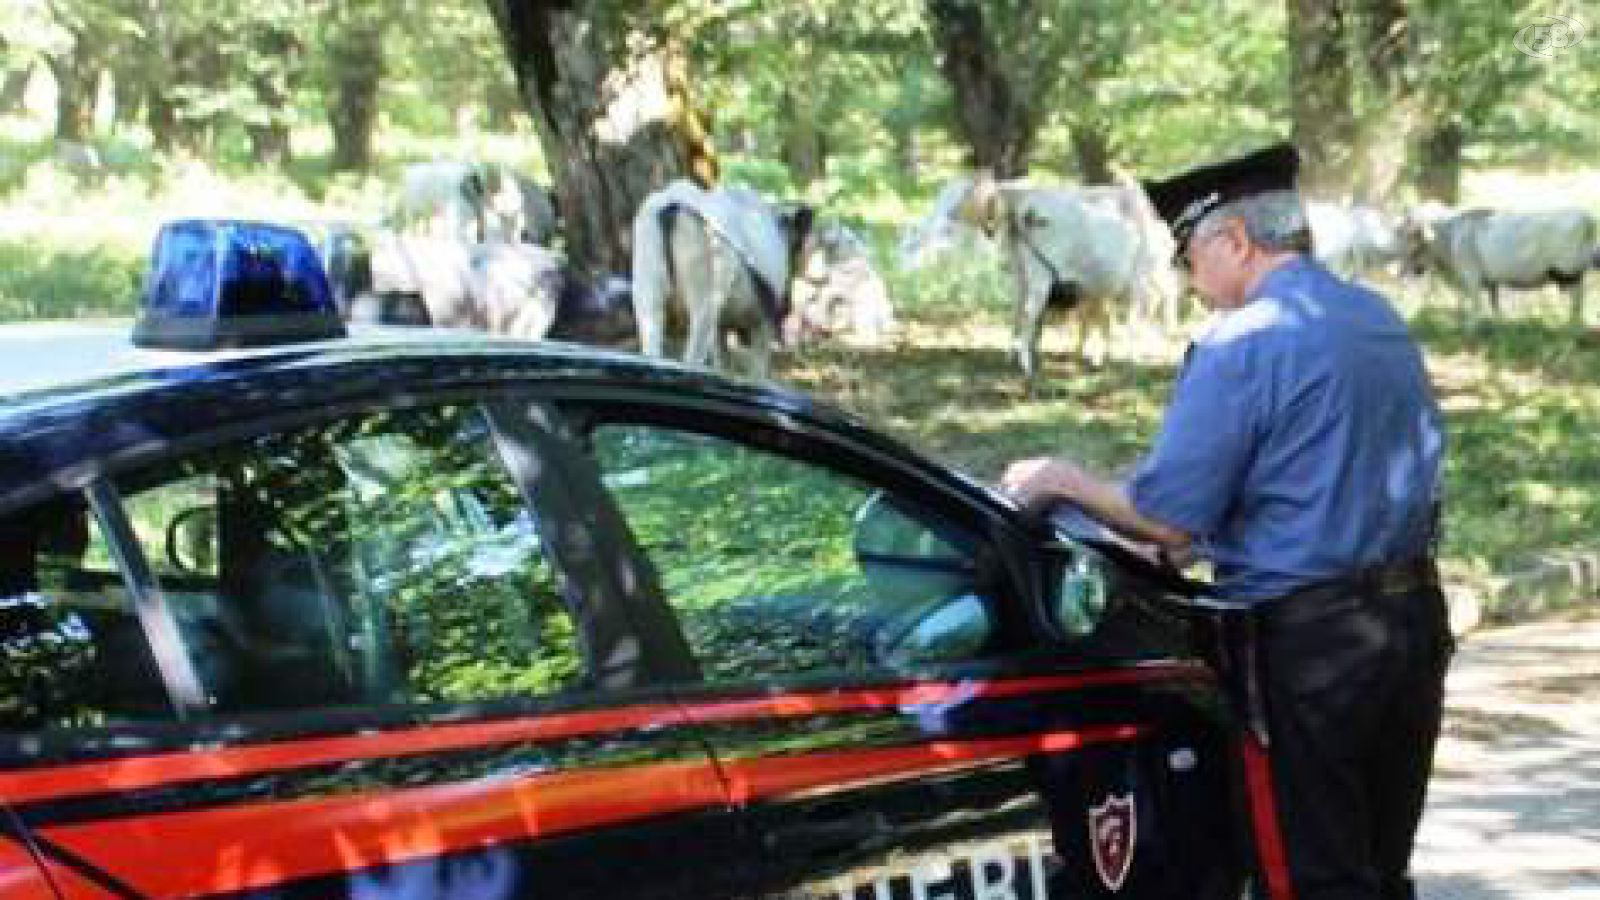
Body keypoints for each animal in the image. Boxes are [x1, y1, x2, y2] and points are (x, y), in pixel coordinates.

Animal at [1408, 204, 1593, 328]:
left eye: (1411, 232)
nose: (1412, 270)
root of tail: (1585, 218)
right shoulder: (1490, 281)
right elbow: (1494, 303)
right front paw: (1499, 325)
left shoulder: (1471, 276)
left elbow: (1475, 303)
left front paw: (1471, 328)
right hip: (1575, 271)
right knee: (1579, 298)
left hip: (1566, 271)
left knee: (1576, 299)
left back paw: (1571, 327)